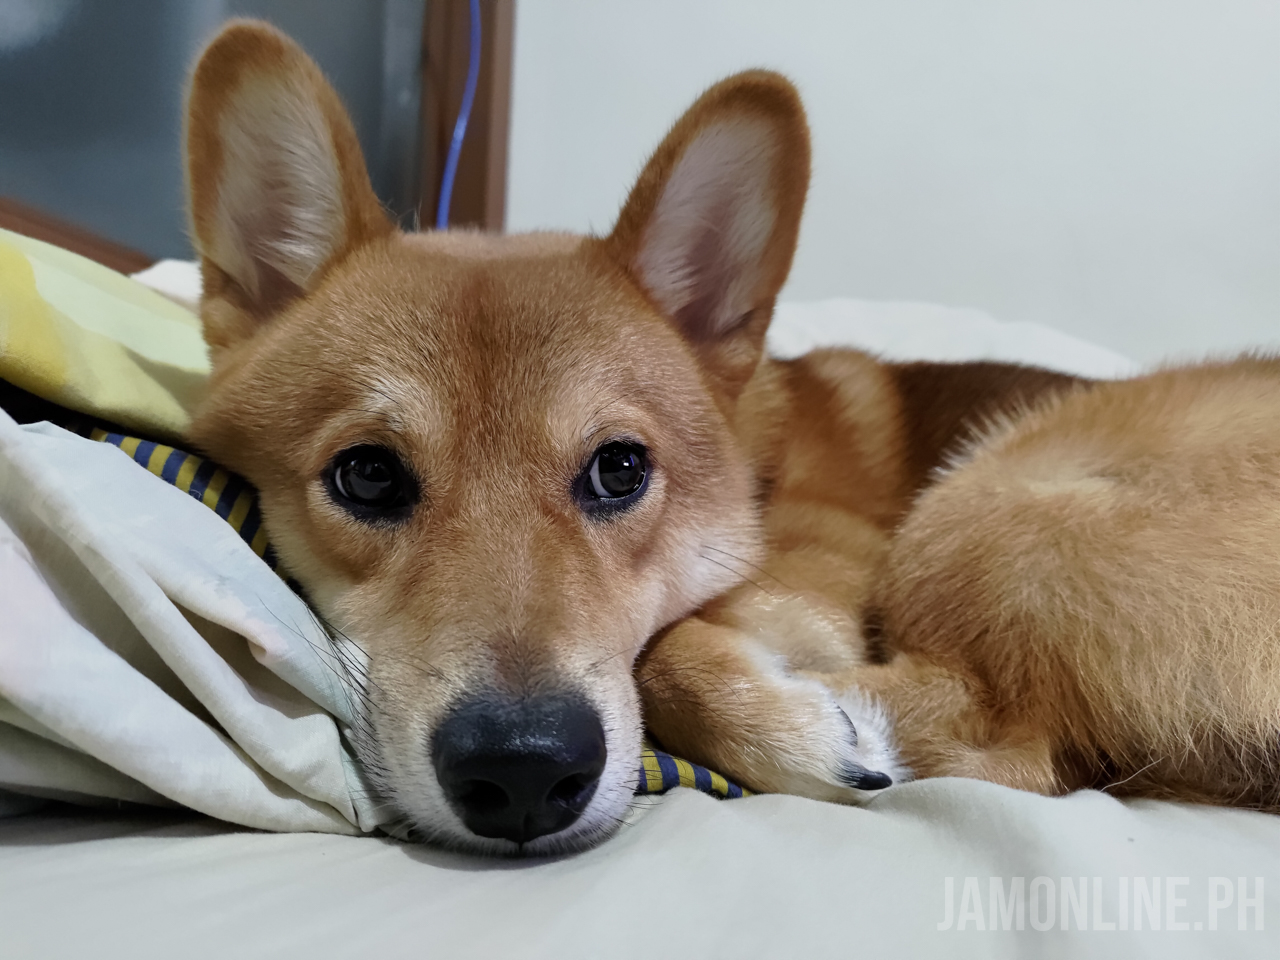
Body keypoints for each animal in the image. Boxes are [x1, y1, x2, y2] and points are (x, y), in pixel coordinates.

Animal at [183, 21, 1280, 854]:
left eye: (620, 469)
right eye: (367, 477)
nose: (523, 776)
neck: (758, 466)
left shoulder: (823, 583)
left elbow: (661, 651)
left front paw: (795, 724)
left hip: (988, 512)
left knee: (1021, 743)